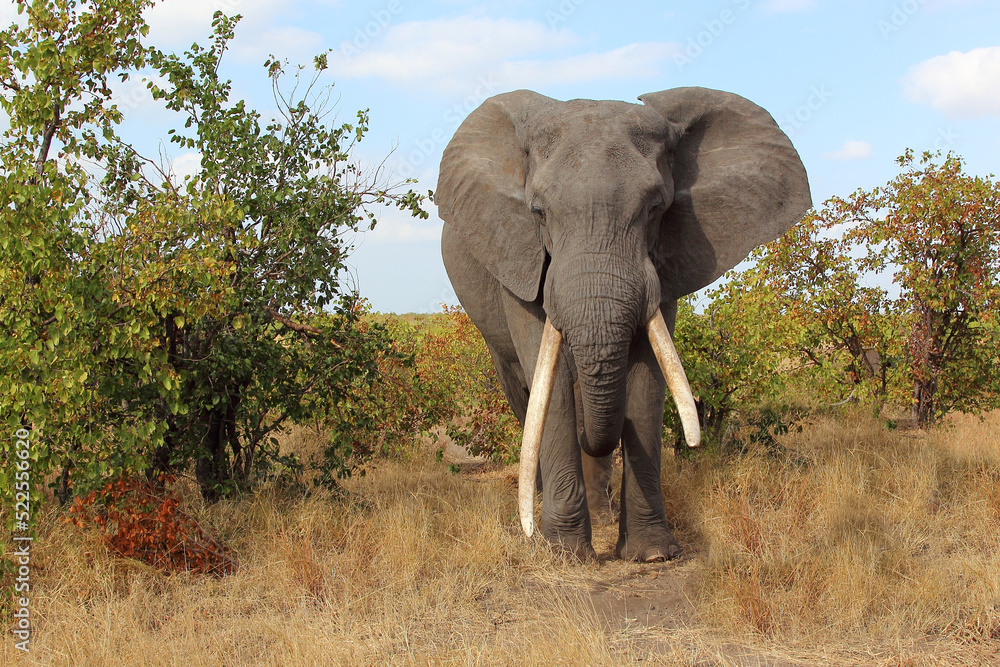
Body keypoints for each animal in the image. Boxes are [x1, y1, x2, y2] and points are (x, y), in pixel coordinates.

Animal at [437, 87, 811, 561]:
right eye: (538, 212)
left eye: (655, 209)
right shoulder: (518, 252)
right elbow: (547, 382)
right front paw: (564, 554)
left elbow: (648, 375)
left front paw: (651, 553)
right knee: (523, 393)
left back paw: (602, 514)